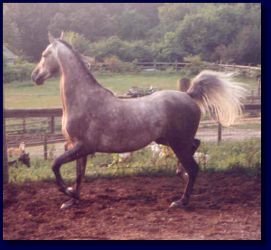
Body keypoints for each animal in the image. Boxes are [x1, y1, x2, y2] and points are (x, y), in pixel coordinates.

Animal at [31, 33, 246, 209]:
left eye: (44, 54)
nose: (35, 76)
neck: (83, 100)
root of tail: (188, 95)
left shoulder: (83, 147)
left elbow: (56, 165)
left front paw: (67, 192)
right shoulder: (76, 147)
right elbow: (79, 175)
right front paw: (72, 200)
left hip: (177, 142)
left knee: (194, 168)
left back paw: (180, 201)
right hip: (169, 140)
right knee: (195, 146)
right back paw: (180, 172)